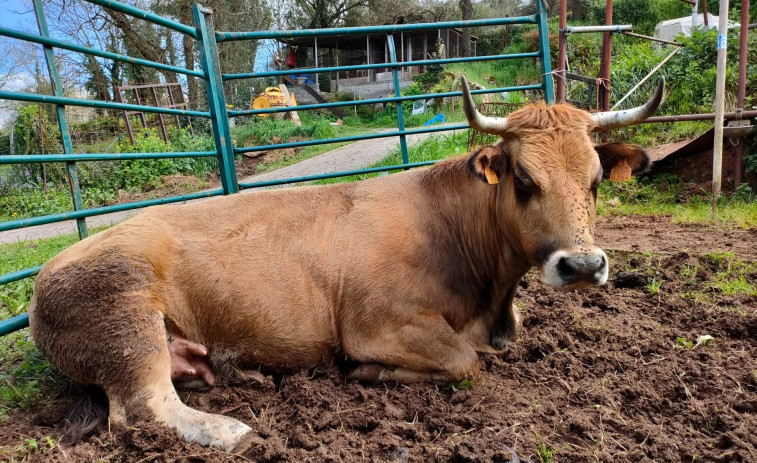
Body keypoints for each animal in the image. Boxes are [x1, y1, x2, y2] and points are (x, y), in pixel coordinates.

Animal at [28, 76, 664, 452]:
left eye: (596, 179)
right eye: (525, 180)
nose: (582, 265)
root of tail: (48, 272)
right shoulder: (379, 324)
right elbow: (464, 362)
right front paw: (368, 374)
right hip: (127, 318)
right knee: (142, 408)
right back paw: (232, 429)